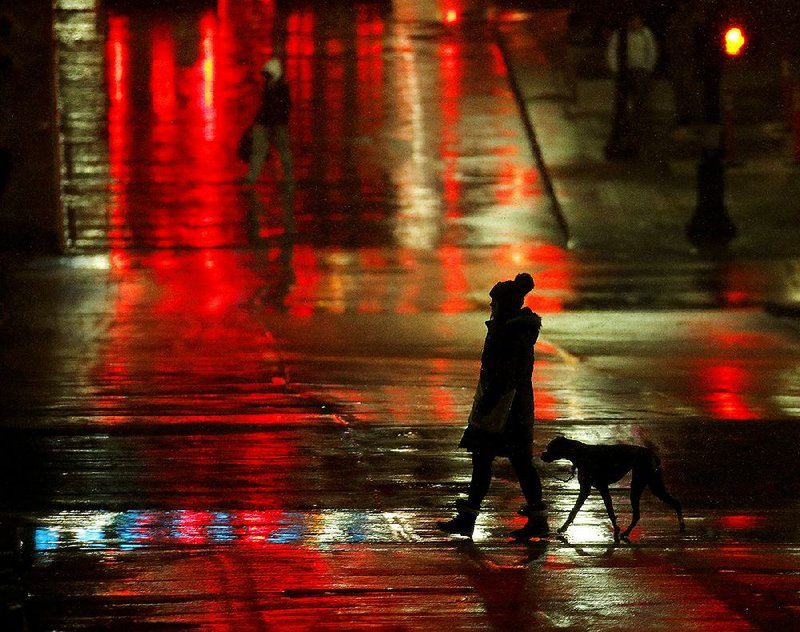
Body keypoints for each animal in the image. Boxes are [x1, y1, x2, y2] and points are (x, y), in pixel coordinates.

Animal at [544, 436, 688, 540]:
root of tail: (652, 454)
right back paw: (681, 526)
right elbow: (575, 511)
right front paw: (564, 527)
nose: (542, 455)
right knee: (675, 503)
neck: (579, 453)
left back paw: (626, 533)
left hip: (638, 487)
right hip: (654, 486)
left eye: (550, 447)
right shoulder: (588, 490)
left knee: (637, 515)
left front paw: (617, 529)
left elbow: (608, 511)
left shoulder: (600, 488)